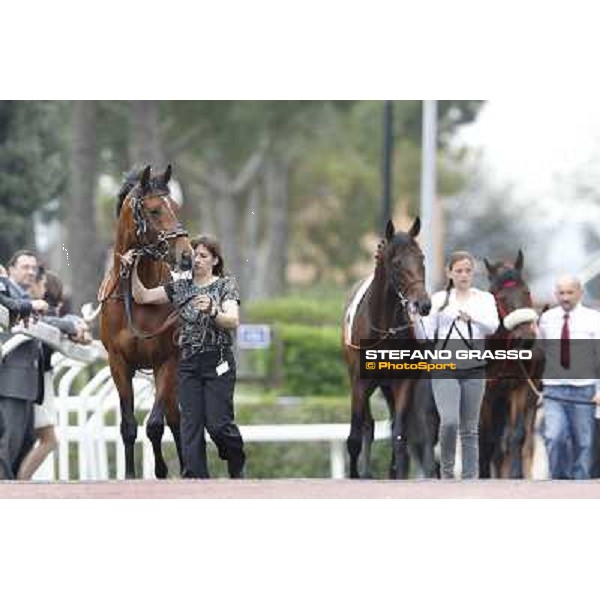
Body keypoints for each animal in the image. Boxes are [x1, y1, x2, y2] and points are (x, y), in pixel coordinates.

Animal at [98, 164, 192, 478]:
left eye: (175, 206)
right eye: (153, 210)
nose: (186, 255)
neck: (137, 298)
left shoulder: (167, 362)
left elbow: (154, 424)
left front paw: (162, 470)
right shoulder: (118, 363)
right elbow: (128, 425)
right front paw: (129, 474)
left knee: (176, 419)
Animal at [342, 218, 432, 480]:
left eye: (421, 258)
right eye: (397, 263)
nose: (424, 304)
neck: (383, 327)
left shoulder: (404, 381)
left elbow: (399, 435)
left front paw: (397, 472)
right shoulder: (359, 381)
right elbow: (355, 435)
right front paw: (355, 474)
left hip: (388, 386)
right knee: (367, 425)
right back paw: (365, 473)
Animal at [478, 248, 544, 478]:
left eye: (527, 292)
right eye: (500, 297)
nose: (526, 339)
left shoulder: (519, 387)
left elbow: (517, 435)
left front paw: (516, 475)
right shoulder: (486, 394)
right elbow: (486, 439)